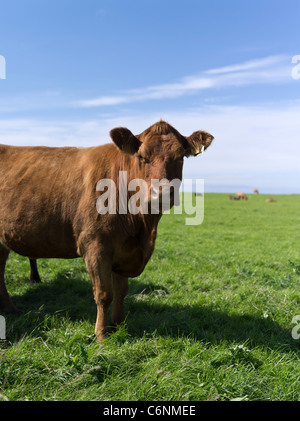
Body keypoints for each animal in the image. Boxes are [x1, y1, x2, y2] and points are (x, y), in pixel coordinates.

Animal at [0, 120, 213, 340]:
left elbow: (121, 291)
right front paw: (102, 334)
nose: (161, 193)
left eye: (180, 157)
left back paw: (10, 309)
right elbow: (104, 293)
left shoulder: (125, 250)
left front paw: (119, 324)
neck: (142, 228)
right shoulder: (95, 246)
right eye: (141, 157)